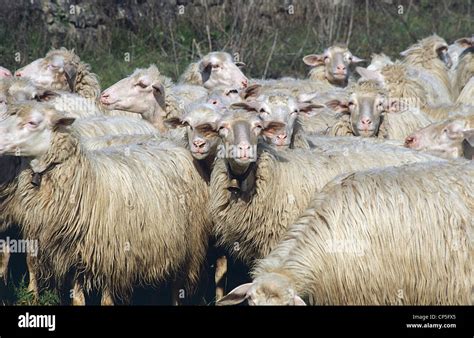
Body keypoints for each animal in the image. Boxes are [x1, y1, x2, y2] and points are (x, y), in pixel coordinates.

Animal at [0, 102, 211, 304]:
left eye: (32, 122)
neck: (86, 181)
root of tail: (171, 143)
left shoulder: (111, 256)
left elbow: (107, 300)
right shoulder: (74, 255)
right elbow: (77, 298)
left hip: (188, 243)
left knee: (177, 286)